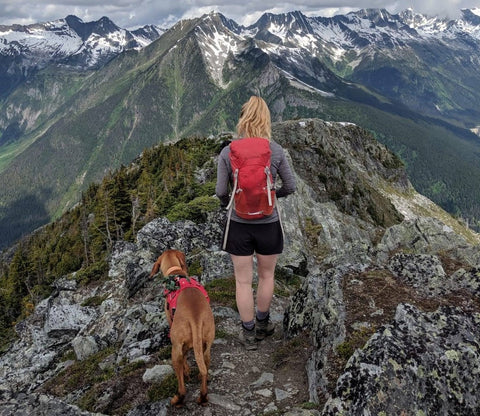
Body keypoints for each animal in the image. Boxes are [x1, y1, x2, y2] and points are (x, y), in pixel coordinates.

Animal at [149, 250, 215, 406]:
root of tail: (195, 318)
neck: (175, 272)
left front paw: (187, 372)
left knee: (182, 386)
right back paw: (202, 395)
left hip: (175, 350)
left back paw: (177, 399)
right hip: (206, 345)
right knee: (204, 368)